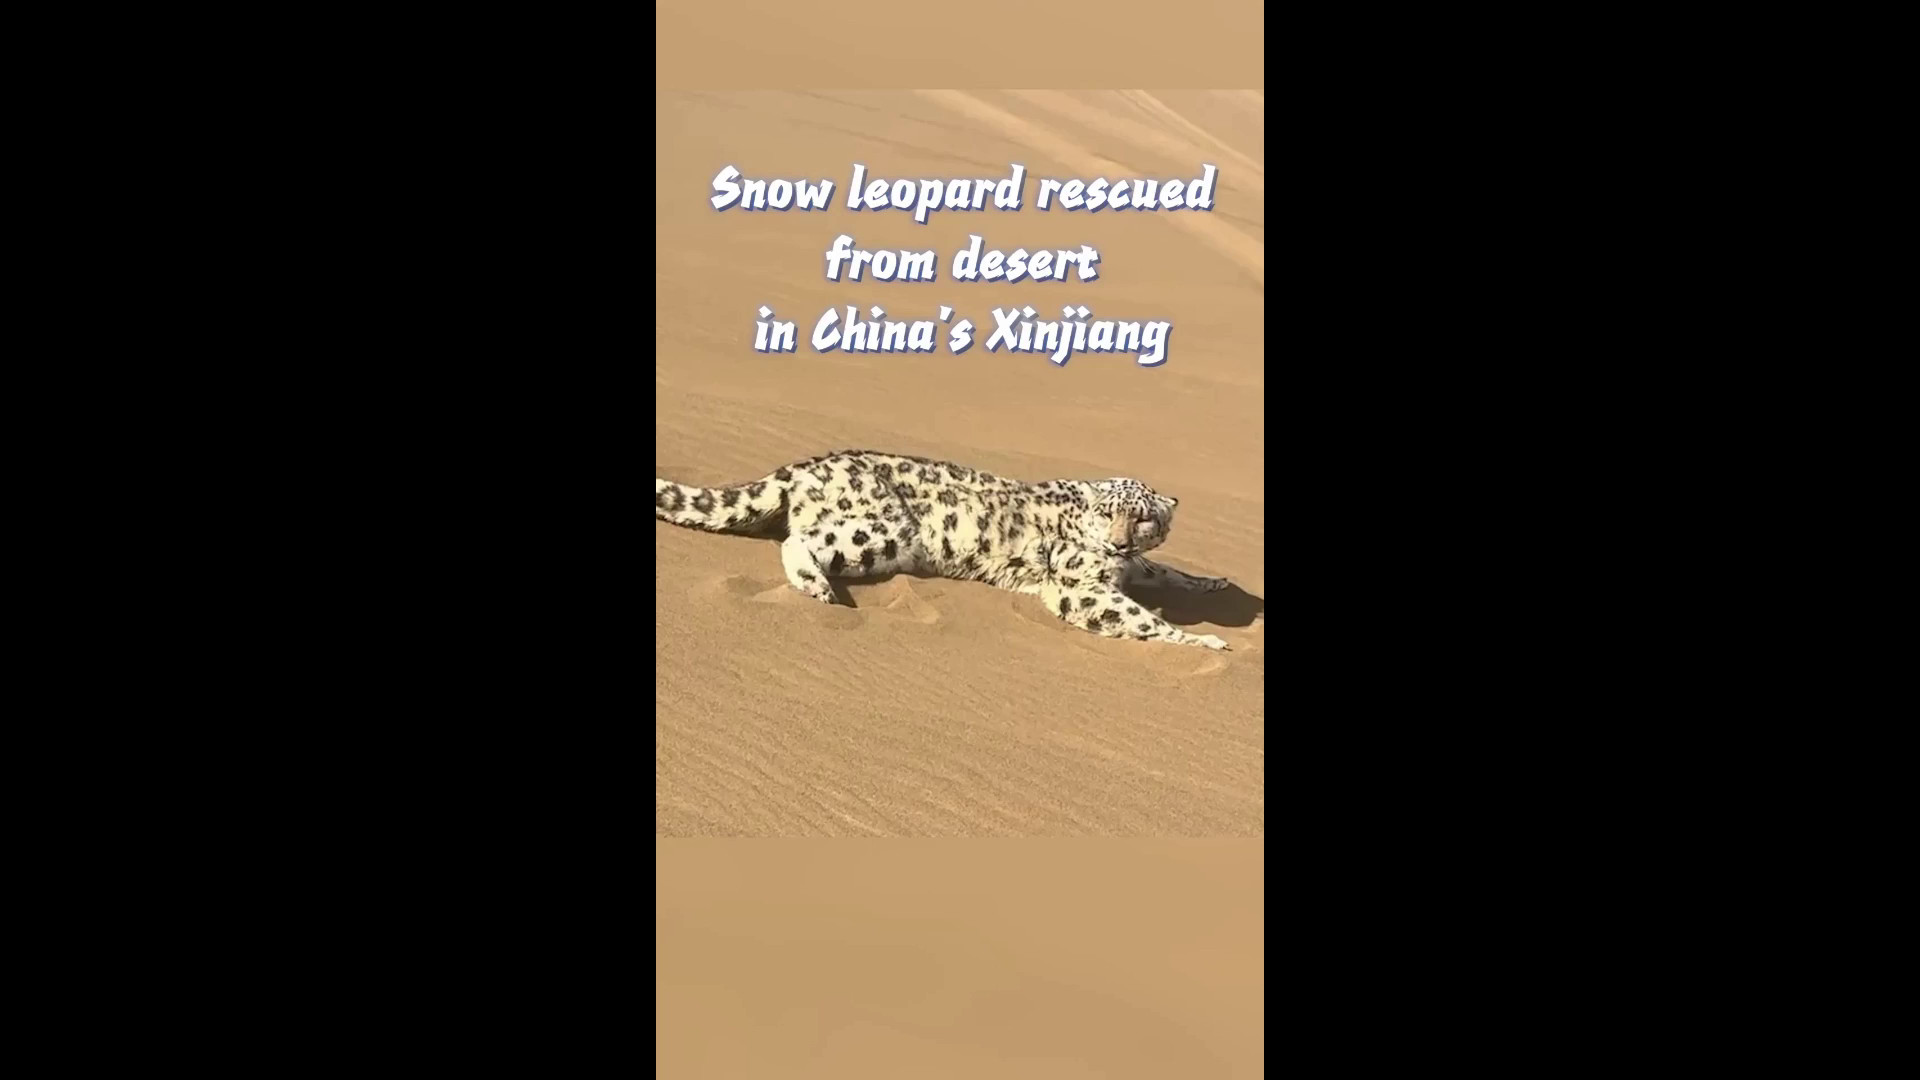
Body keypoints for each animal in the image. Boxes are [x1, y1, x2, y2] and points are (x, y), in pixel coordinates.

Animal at [654, 449, 1233, 649]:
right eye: (1107, 512)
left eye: (1143, 519)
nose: (1117, 542)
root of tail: (804, 464)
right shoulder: (1082, 587)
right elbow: (1138, 617)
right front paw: (1202, 641)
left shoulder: (1133, 567)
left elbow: (1164, 571)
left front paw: (1214, 582)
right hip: (882, 532)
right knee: (801, 540)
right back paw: (816, 586)